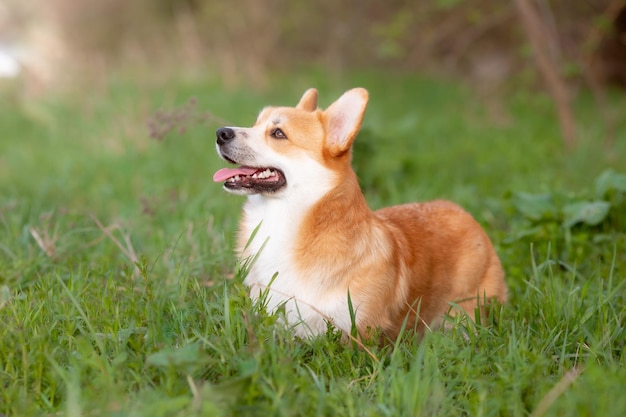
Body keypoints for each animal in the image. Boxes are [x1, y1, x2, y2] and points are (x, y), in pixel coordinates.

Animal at [214, 88, 508, 338]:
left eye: (278, 134)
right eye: (255, 123)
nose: (220, 133)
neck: (287, 220)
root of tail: (463, 212)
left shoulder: (359, 333)